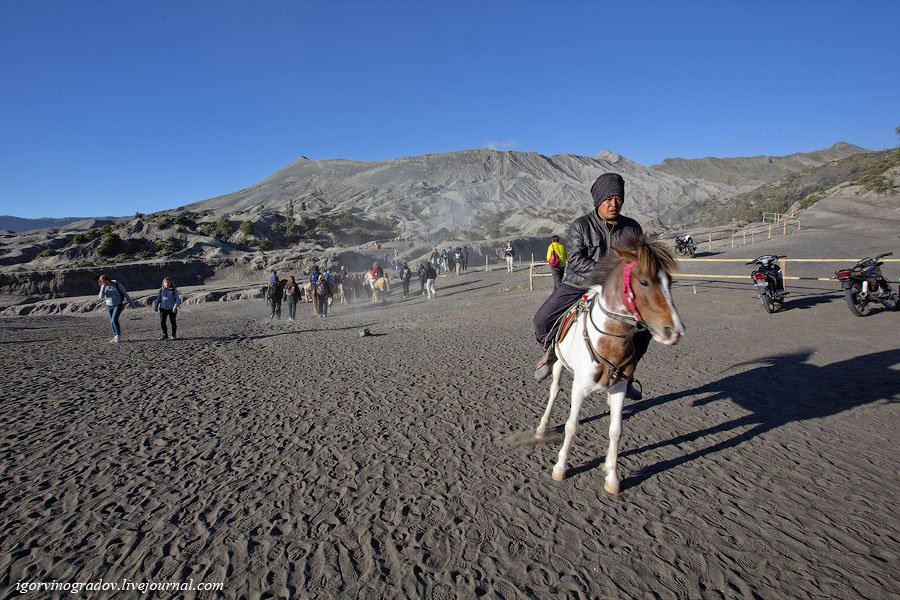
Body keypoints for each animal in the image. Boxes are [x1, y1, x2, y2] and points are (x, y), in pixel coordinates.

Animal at [536, 234, 684, 496]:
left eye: (670, 280)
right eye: (644, 281)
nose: (674, 331)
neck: (607, 341)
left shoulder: (619, 388)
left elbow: (616, 430)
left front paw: (612, 477)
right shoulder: (579, 387)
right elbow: (571, 425)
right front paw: (560, 467)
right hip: (559, 365)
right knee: (553, 392)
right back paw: (542, 427)